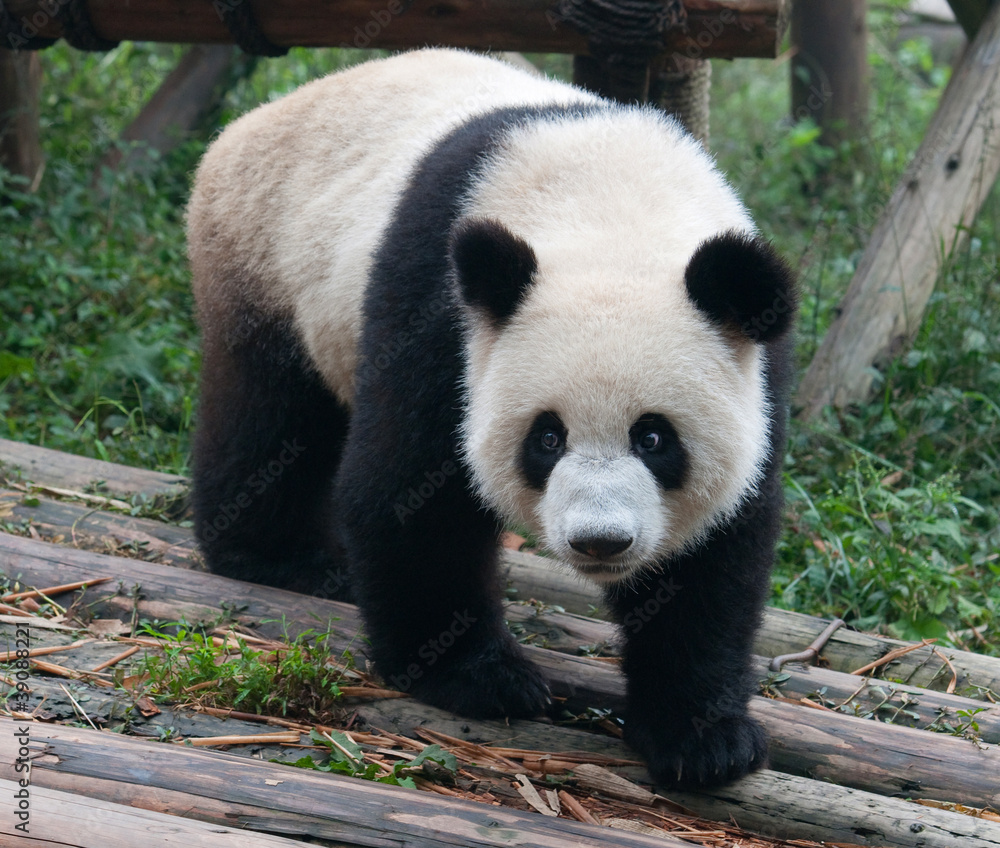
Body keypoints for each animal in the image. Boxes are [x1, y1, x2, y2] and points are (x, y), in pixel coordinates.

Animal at [186, 48, 797, 788]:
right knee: (272, 418)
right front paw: (477, 676)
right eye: (547, 436)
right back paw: (280, 555)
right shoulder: (440, 310)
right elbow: (409, 490)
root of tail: (249, 125)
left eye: (654, 438)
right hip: (268, 259)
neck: (614, 213)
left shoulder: (758, 365)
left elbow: (716, 552)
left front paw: (703, 738)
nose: (600, 541)